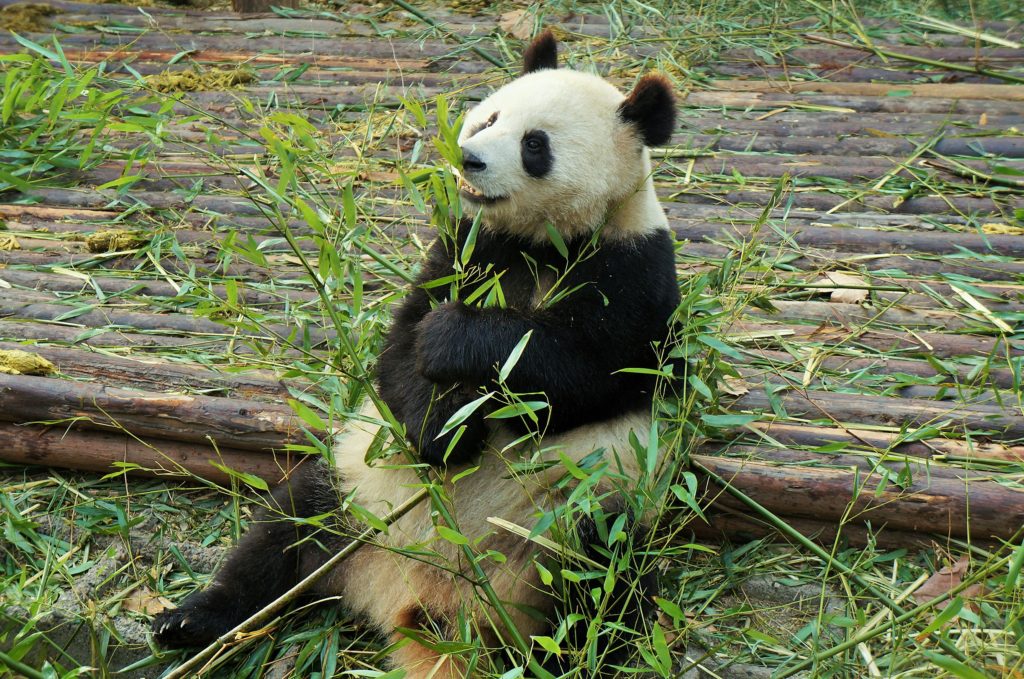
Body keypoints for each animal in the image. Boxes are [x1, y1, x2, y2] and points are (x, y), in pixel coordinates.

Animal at [153, 31, 679, 679]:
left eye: (535, 144)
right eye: (491, 117)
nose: (469, 158)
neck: (542, 241)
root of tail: (423, 604)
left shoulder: (636, 273)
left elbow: (588, 374)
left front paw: (460, 344)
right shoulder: (465, 248)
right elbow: (400, 351)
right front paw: (443, 424)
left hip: (573, 514)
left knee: (600, 585)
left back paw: (571, 655)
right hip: (355, 487)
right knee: (282, 533)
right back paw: (194, 621)